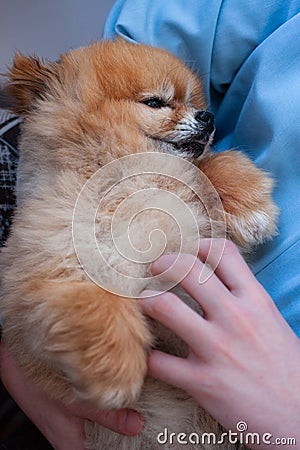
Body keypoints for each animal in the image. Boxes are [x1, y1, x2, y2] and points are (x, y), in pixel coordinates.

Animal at [0, 39, 278, 450]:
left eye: (192, 101)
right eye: (156, 102)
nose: (208, 116)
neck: (133, 181)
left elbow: (206, 168)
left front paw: (250, 205)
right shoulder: (44, 267)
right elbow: (92, 299)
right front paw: (115, 369)